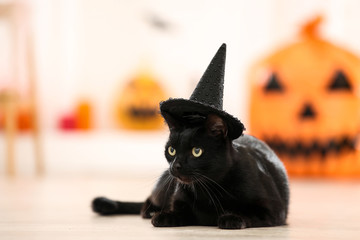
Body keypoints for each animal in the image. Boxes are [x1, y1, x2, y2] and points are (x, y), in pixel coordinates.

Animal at [93, 112, 290, 229]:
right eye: (171, 150)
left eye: (197, 151)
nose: (175, 166)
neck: (210, 189)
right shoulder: (179, 199)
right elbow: (181, 211)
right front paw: (165, 216)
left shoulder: (273, 210)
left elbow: (249, 212)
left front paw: (231, 218)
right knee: (147, 199)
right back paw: (151, 211)